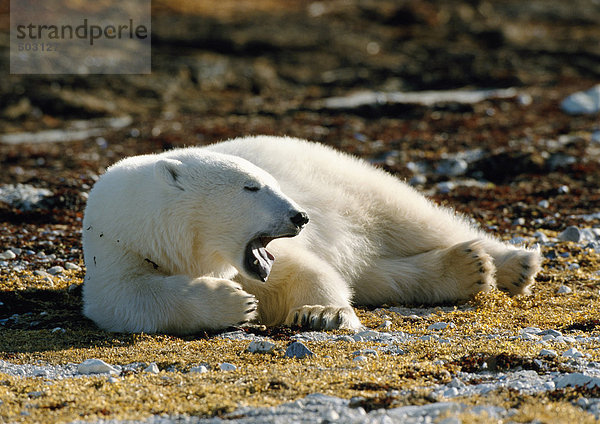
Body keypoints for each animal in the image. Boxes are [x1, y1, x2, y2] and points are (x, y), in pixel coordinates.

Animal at [81, 136, 544, 334]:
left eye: (271, 182)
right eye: (252, 187)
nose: (300, 216)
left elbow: (306, 272)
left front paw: (321, 314)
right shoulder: (117, 253)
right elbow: (128, 301)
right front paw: (234, 303)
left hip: (350, 182)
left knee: (415, 218)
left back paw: (513, 263)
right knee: (379, 275)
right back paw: (465, 268)